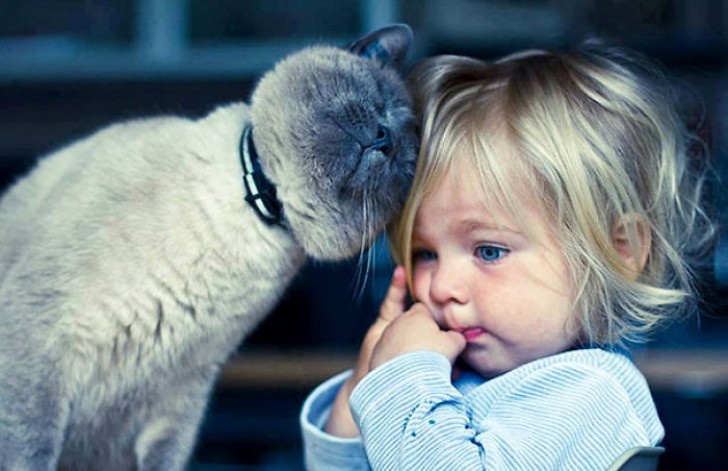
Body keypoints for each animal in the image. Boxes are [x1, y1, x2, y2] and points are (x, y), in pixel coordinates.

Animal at [0, 24, 418, 468]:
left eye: (405, 162)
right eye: (378, 101)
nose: (385, 138)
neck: (251, 211)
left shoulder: (182, 396)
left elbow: (166, 459)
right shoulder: (38, 347)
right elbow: (29, 451)